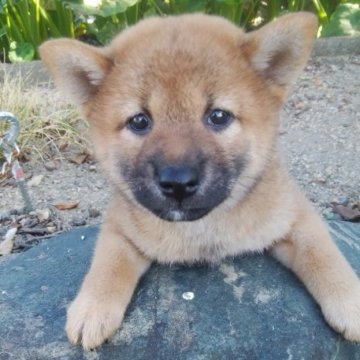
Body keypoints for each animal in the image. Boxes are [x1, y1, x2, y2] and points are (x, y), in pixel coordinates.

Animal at [38, 12, 360, 350]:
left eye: (218, 116)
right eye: (139, 121)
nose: (178, 182)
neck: (201, 230)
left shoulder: (296, 215)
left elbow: (324, 256)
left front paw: (350, 303)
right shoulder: (119, 227)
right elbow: (108, 264)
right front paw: (92, 307)